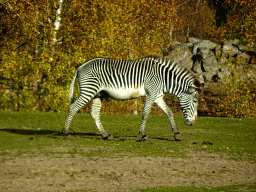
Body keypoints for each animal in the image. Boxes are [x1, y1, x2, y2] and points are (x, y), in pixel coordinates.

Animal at [62, 56, 202, 140]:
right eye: (195, 101)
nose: (193, 123)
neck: (164, 79)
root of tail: (81, 66)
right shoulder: (151, 94)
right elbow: (145, 114)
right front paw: (143, 134)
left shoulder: (158, 96)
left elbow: (169, 112)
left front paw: (176, 134)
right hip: (89, 90)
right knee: (73, 107)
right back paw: (66, 132)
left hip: (98, 94)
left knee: (94, 113)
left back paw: (105, 135)